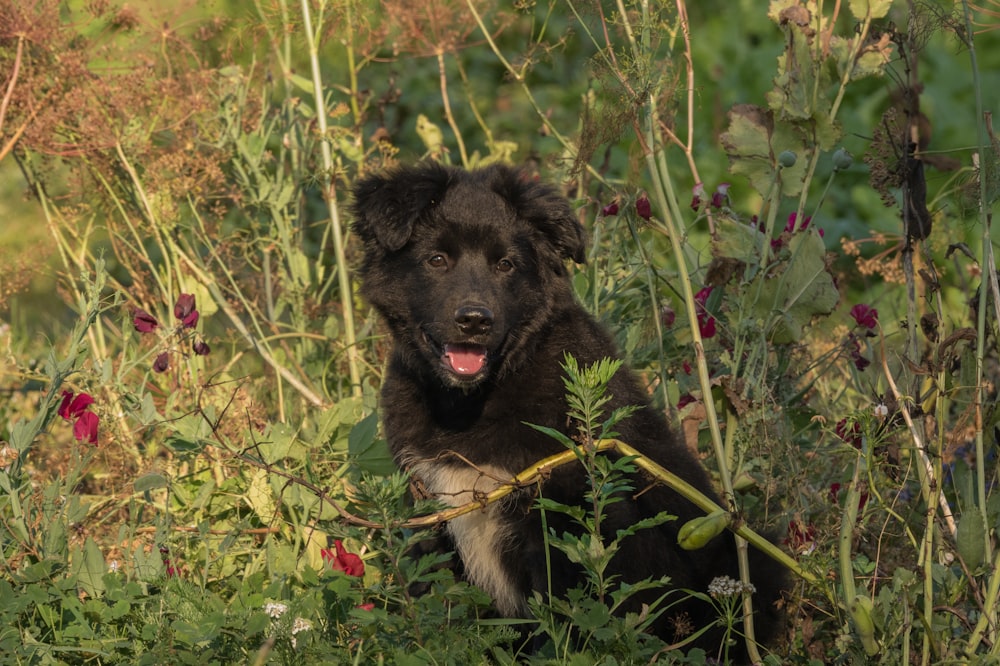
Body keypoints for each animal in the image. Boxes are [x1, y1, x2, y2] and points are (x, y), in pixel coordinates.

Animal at [354, 162, 788, 652]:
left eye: (505, 265)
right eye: (436, 260)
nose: (474, 320)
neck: (472, 403)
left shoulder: (569, 517)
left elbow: (572, 615)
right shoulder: (434, 509)